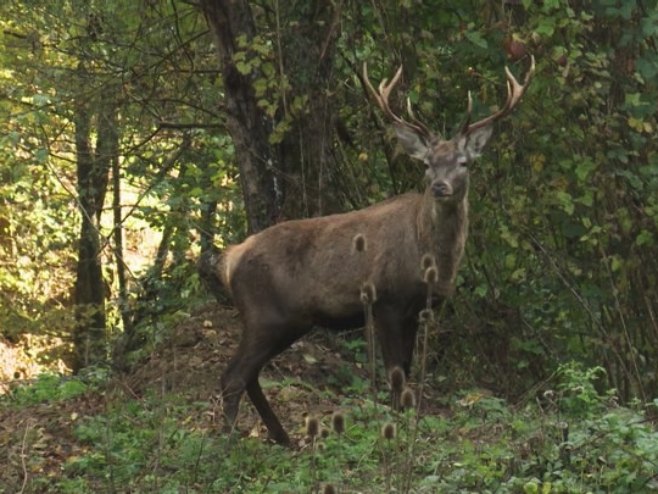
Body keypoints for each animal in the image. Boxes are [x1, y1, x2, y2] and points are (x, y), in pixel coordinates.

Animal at [199, 56, 532, 446]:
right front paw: (395, 432)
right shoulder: (385, 301)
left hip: (284, 320)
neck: (430, 259)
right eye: (427, 163)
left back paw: (283, 437)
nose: (439, 186)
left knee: (249, 374)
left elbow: (406, 373)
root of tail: (231, 258)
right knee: (234, 375)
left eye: (463, 162)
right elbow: (395, 376)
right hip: (264, 314)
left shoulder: (417, 311)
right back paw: (229, 440)